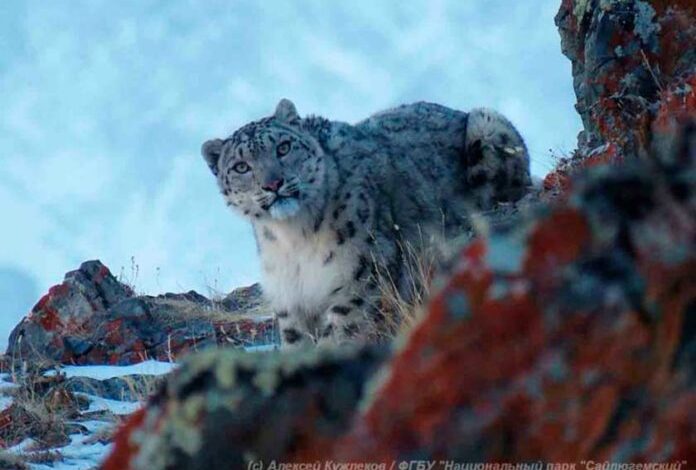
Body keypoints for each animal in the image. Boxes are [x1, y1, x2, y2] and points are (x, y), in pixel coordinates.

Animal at [200, 99, 528, 348]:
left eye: (283, 147)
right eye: (241, 166)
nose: (273, 183)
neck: (293, 238)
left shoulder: (361, 278)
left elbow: (339, 334)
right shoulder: (289, 300)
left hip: (487, 123)